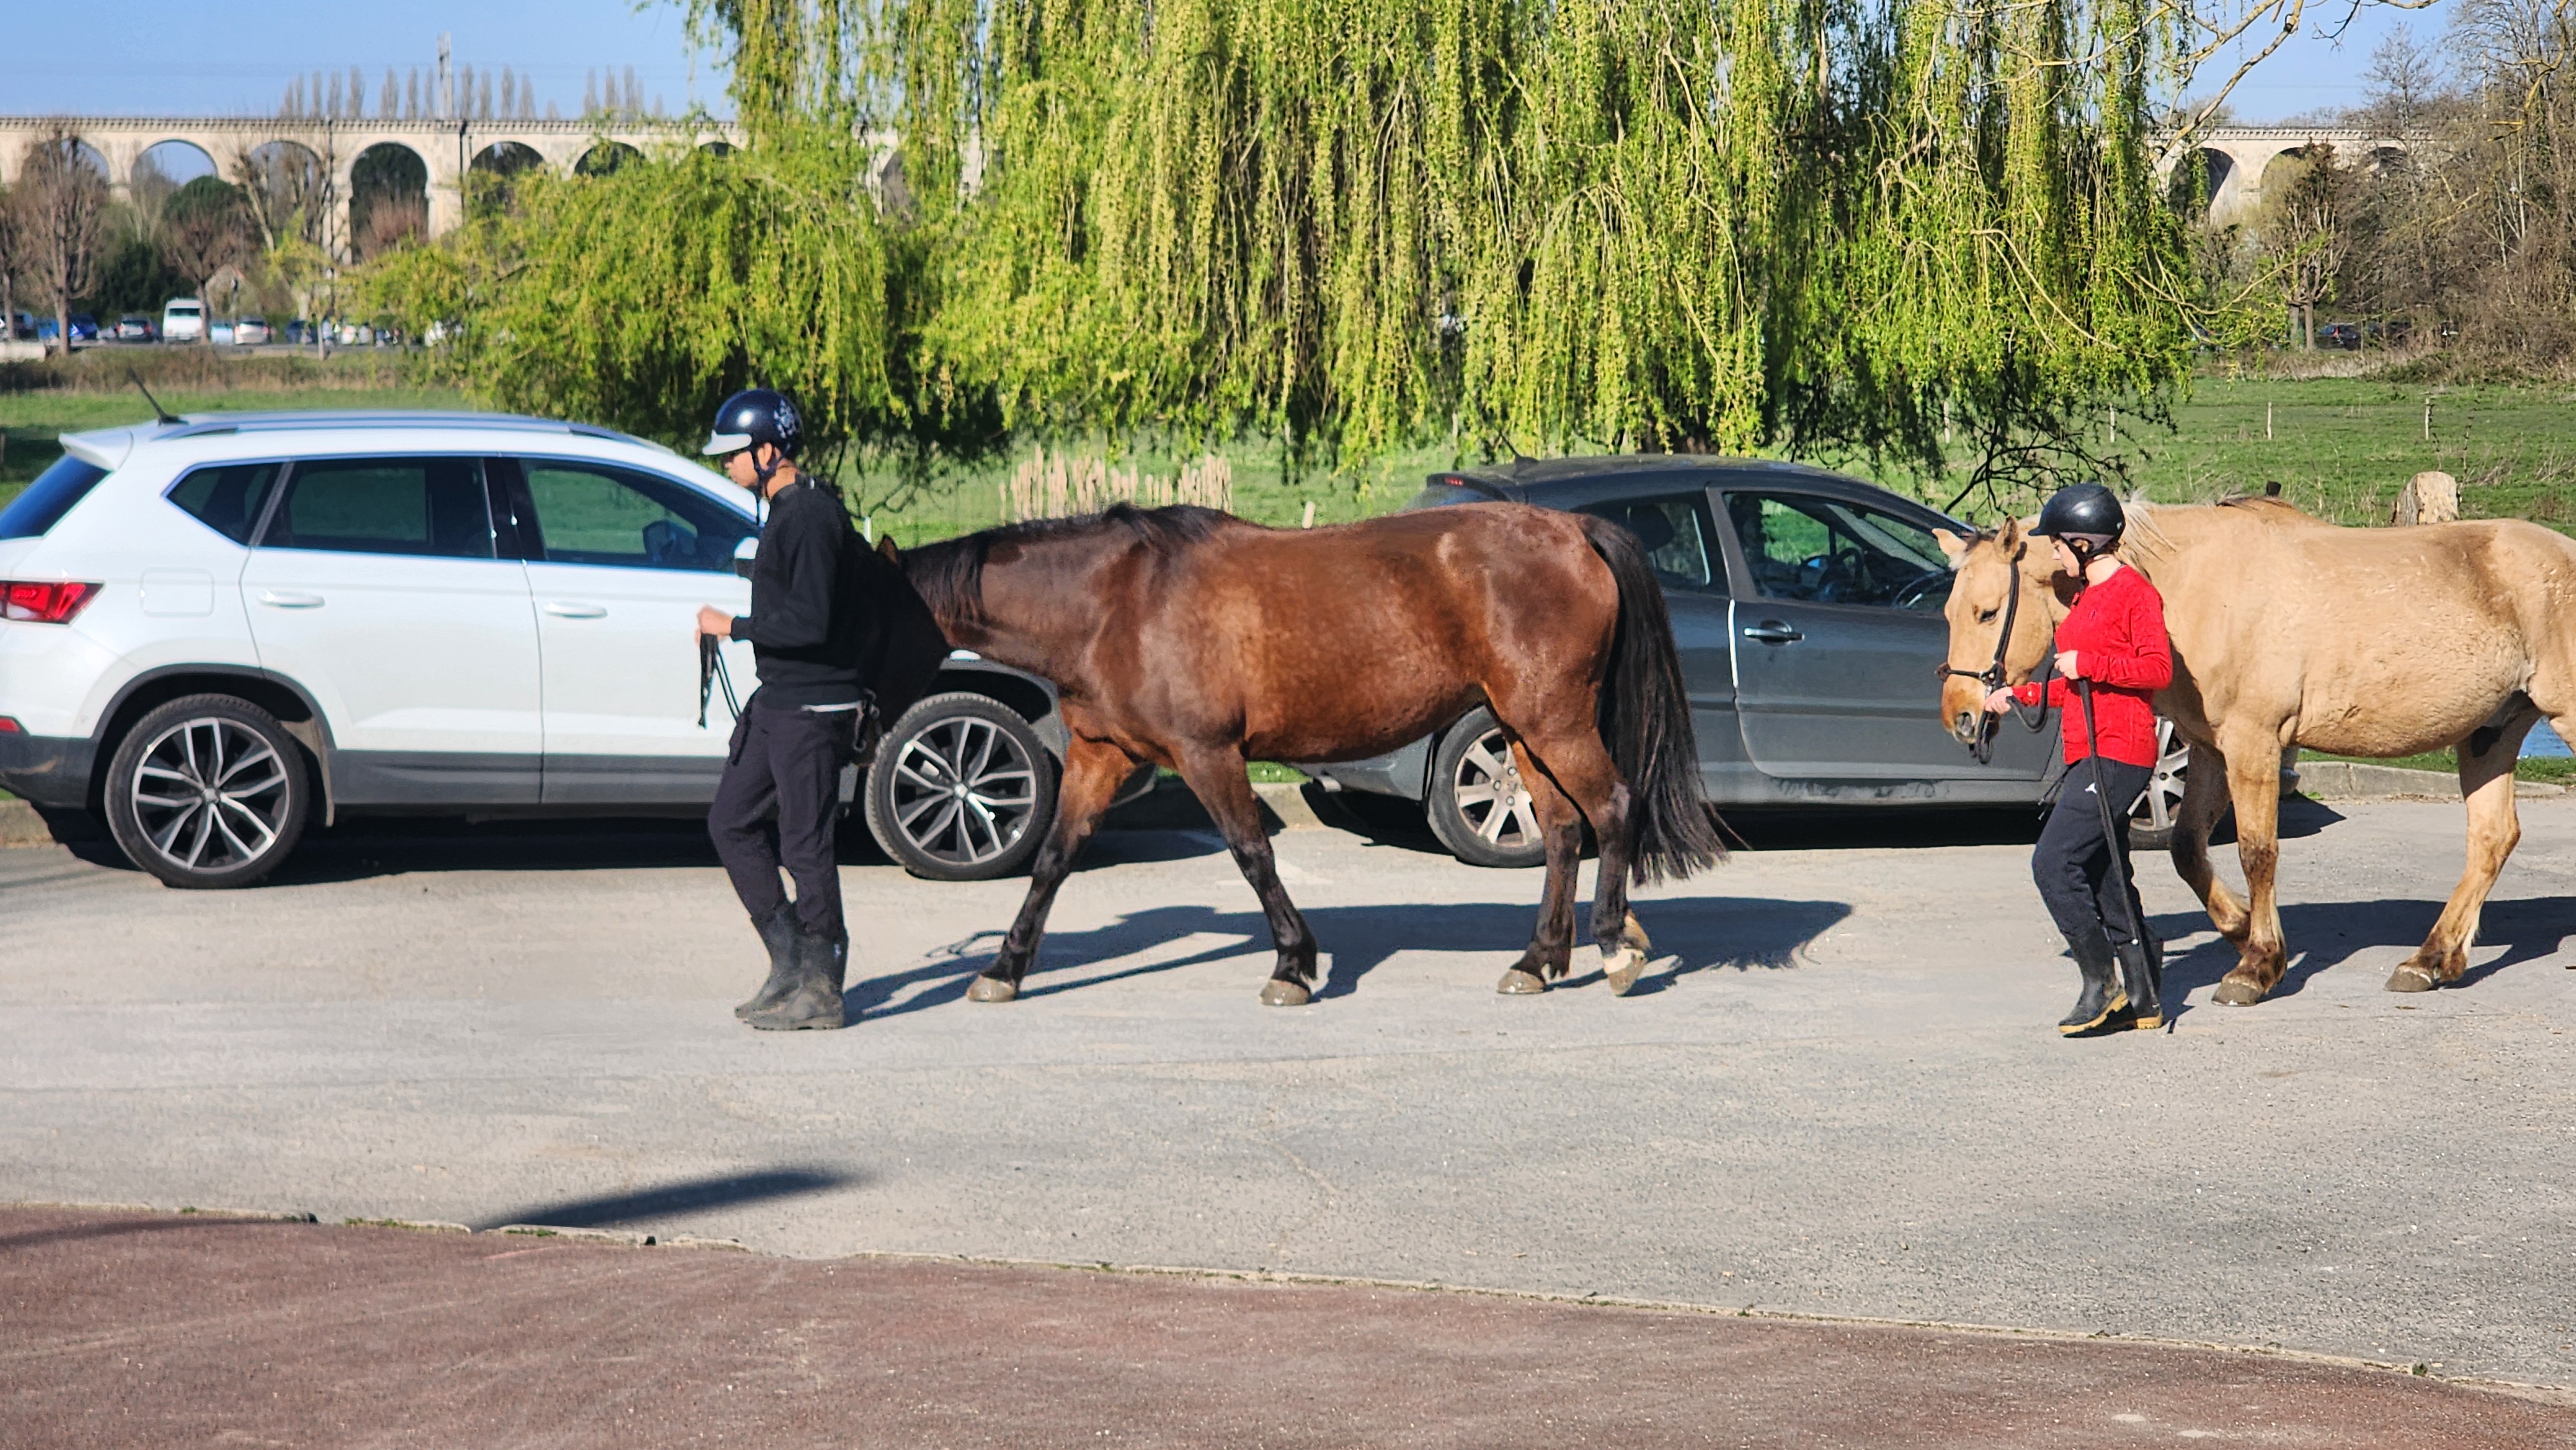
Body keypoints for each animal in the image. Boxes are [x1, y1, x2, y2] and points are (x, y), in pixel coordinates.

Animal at [886, 501, 1725, 1006]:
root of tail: (1574, 528)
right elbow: (1054, 860)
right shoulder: (1102, 754)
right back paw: (1537, 961)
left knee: (1612, 808)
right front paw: (1003, 968)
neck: (1114, 603)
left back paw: (1614, 947)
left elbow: (1252, 854)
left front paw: (1293, 964)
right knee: (1559, 830)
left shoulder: (1208, 753)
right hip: (1523, 728)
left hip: (1554, 723)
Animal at [1934, 499, 2576, 1004]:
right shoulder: (2210, 751)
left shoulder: (2254, 743)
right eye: (1949, 611)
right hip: (2491, 733)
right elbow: (2188, 849)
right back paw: (2431, 960)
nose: (1960, 716)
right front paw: (2244, 930)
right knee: (2492, 838)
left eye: (1988, 612)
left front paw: (2258, 965)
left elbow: (2256, 852)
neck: (2188, 588)